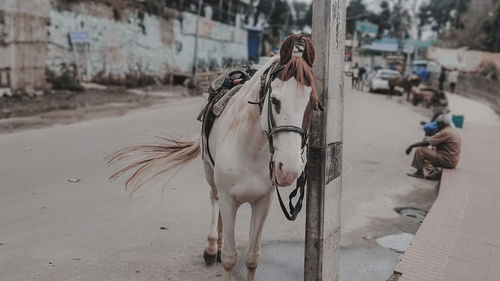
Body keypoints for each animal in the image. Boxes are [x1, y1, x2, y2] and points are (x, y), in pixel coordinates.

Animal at [109, 35, 320, 280]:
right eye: (275, 101)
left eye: (313, 104)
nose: (290, 169)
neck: (251, 151)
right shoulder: (229, 199)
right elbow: (229, 257)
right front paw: (218, 250)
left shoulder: (262, 202)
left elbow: (252, 258)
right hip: (209, 172)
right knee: (214, 198)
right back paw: (211, 248)